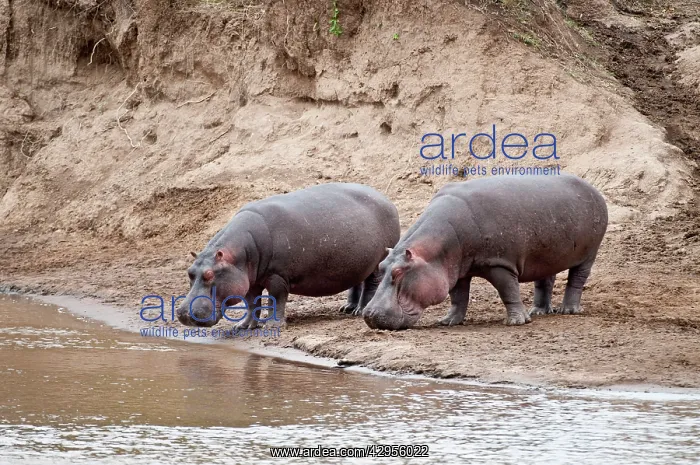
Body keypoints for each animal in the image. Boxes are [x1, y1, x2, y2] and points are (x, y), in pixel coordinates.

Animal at [177, 183, 400, 329]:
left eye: (209, 275)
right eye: (189, 272)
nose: (183, 314)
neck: (239, 254)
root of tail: (387, 200)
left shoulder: (278, 276)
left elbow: (276, 299)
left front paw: (274, 325)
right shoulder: (250, 278)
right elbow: (252, 302)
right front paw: (244, 326)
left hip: (377, 262)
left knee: (370, 285)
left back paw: (358, 311)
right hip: (358, 261)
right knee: (357, 282)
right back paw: (347, 308)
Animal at [362, 173, 608, 330]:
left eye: (397, 273)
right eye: (381, 267)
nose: (369, 314)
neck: (432, 253)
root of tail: (593, 189)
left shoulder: (500, 263)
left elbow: (508, 291)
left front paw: (517, 322)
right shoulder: (456, 269)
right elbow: (458, 297)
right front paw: (448, 321)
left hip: (589, 254)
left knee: (577, 279)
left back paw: (569, 310)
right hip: (547, 255)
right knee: (545, 280)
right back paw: (538, 312)